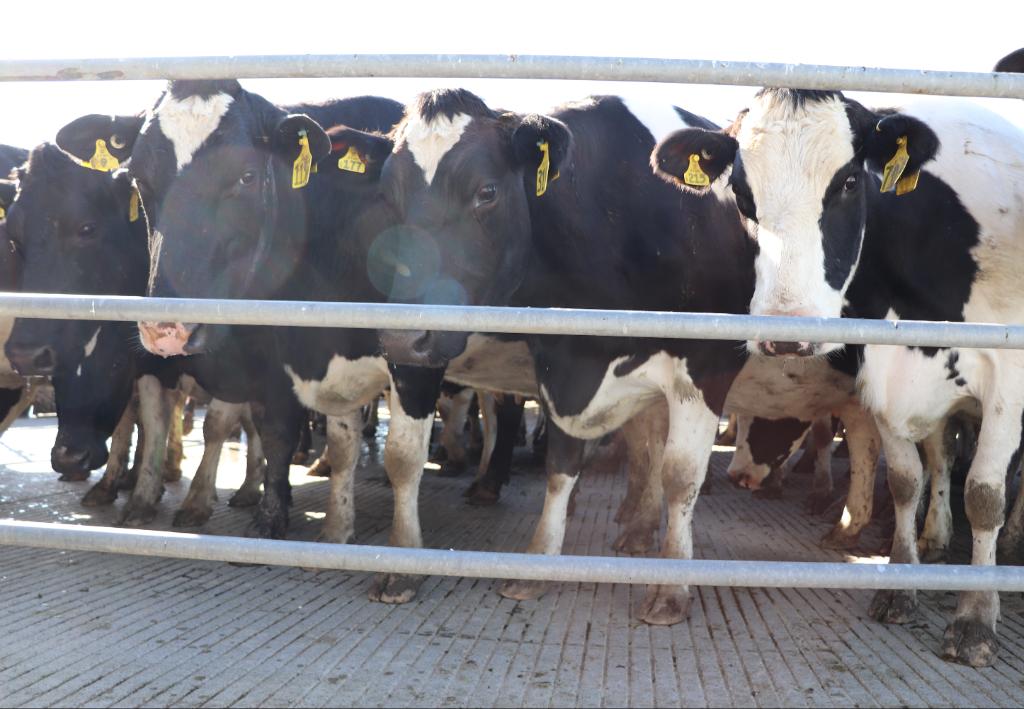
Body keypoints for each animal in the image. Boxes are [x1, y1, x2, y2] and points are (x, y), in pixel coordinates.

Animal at [654, 87, 1024, 665]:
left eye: (850, 182)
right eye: (741, 191)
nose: (785, 332)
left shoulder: (1009, 377)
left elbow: (985, 495)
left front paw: (975, 619)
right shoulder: (887, 374)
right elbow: (906, 481)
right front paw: (901, 585)